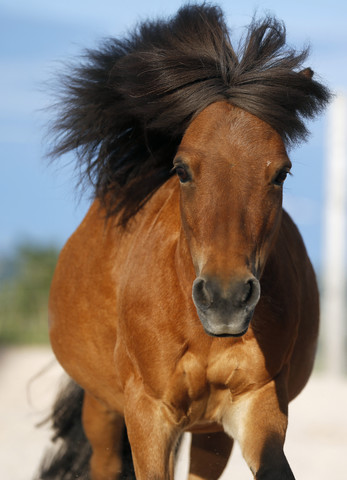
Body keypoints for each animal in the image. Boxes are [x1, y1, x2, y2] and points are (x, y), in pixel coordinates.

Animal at [36, 4, 330, 480]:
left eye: (281, 172)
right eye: (183, 169)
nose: (226, 299)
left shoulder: (256, 404)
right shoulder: (148, 413)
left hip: (208, 435)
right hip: (102, 409)